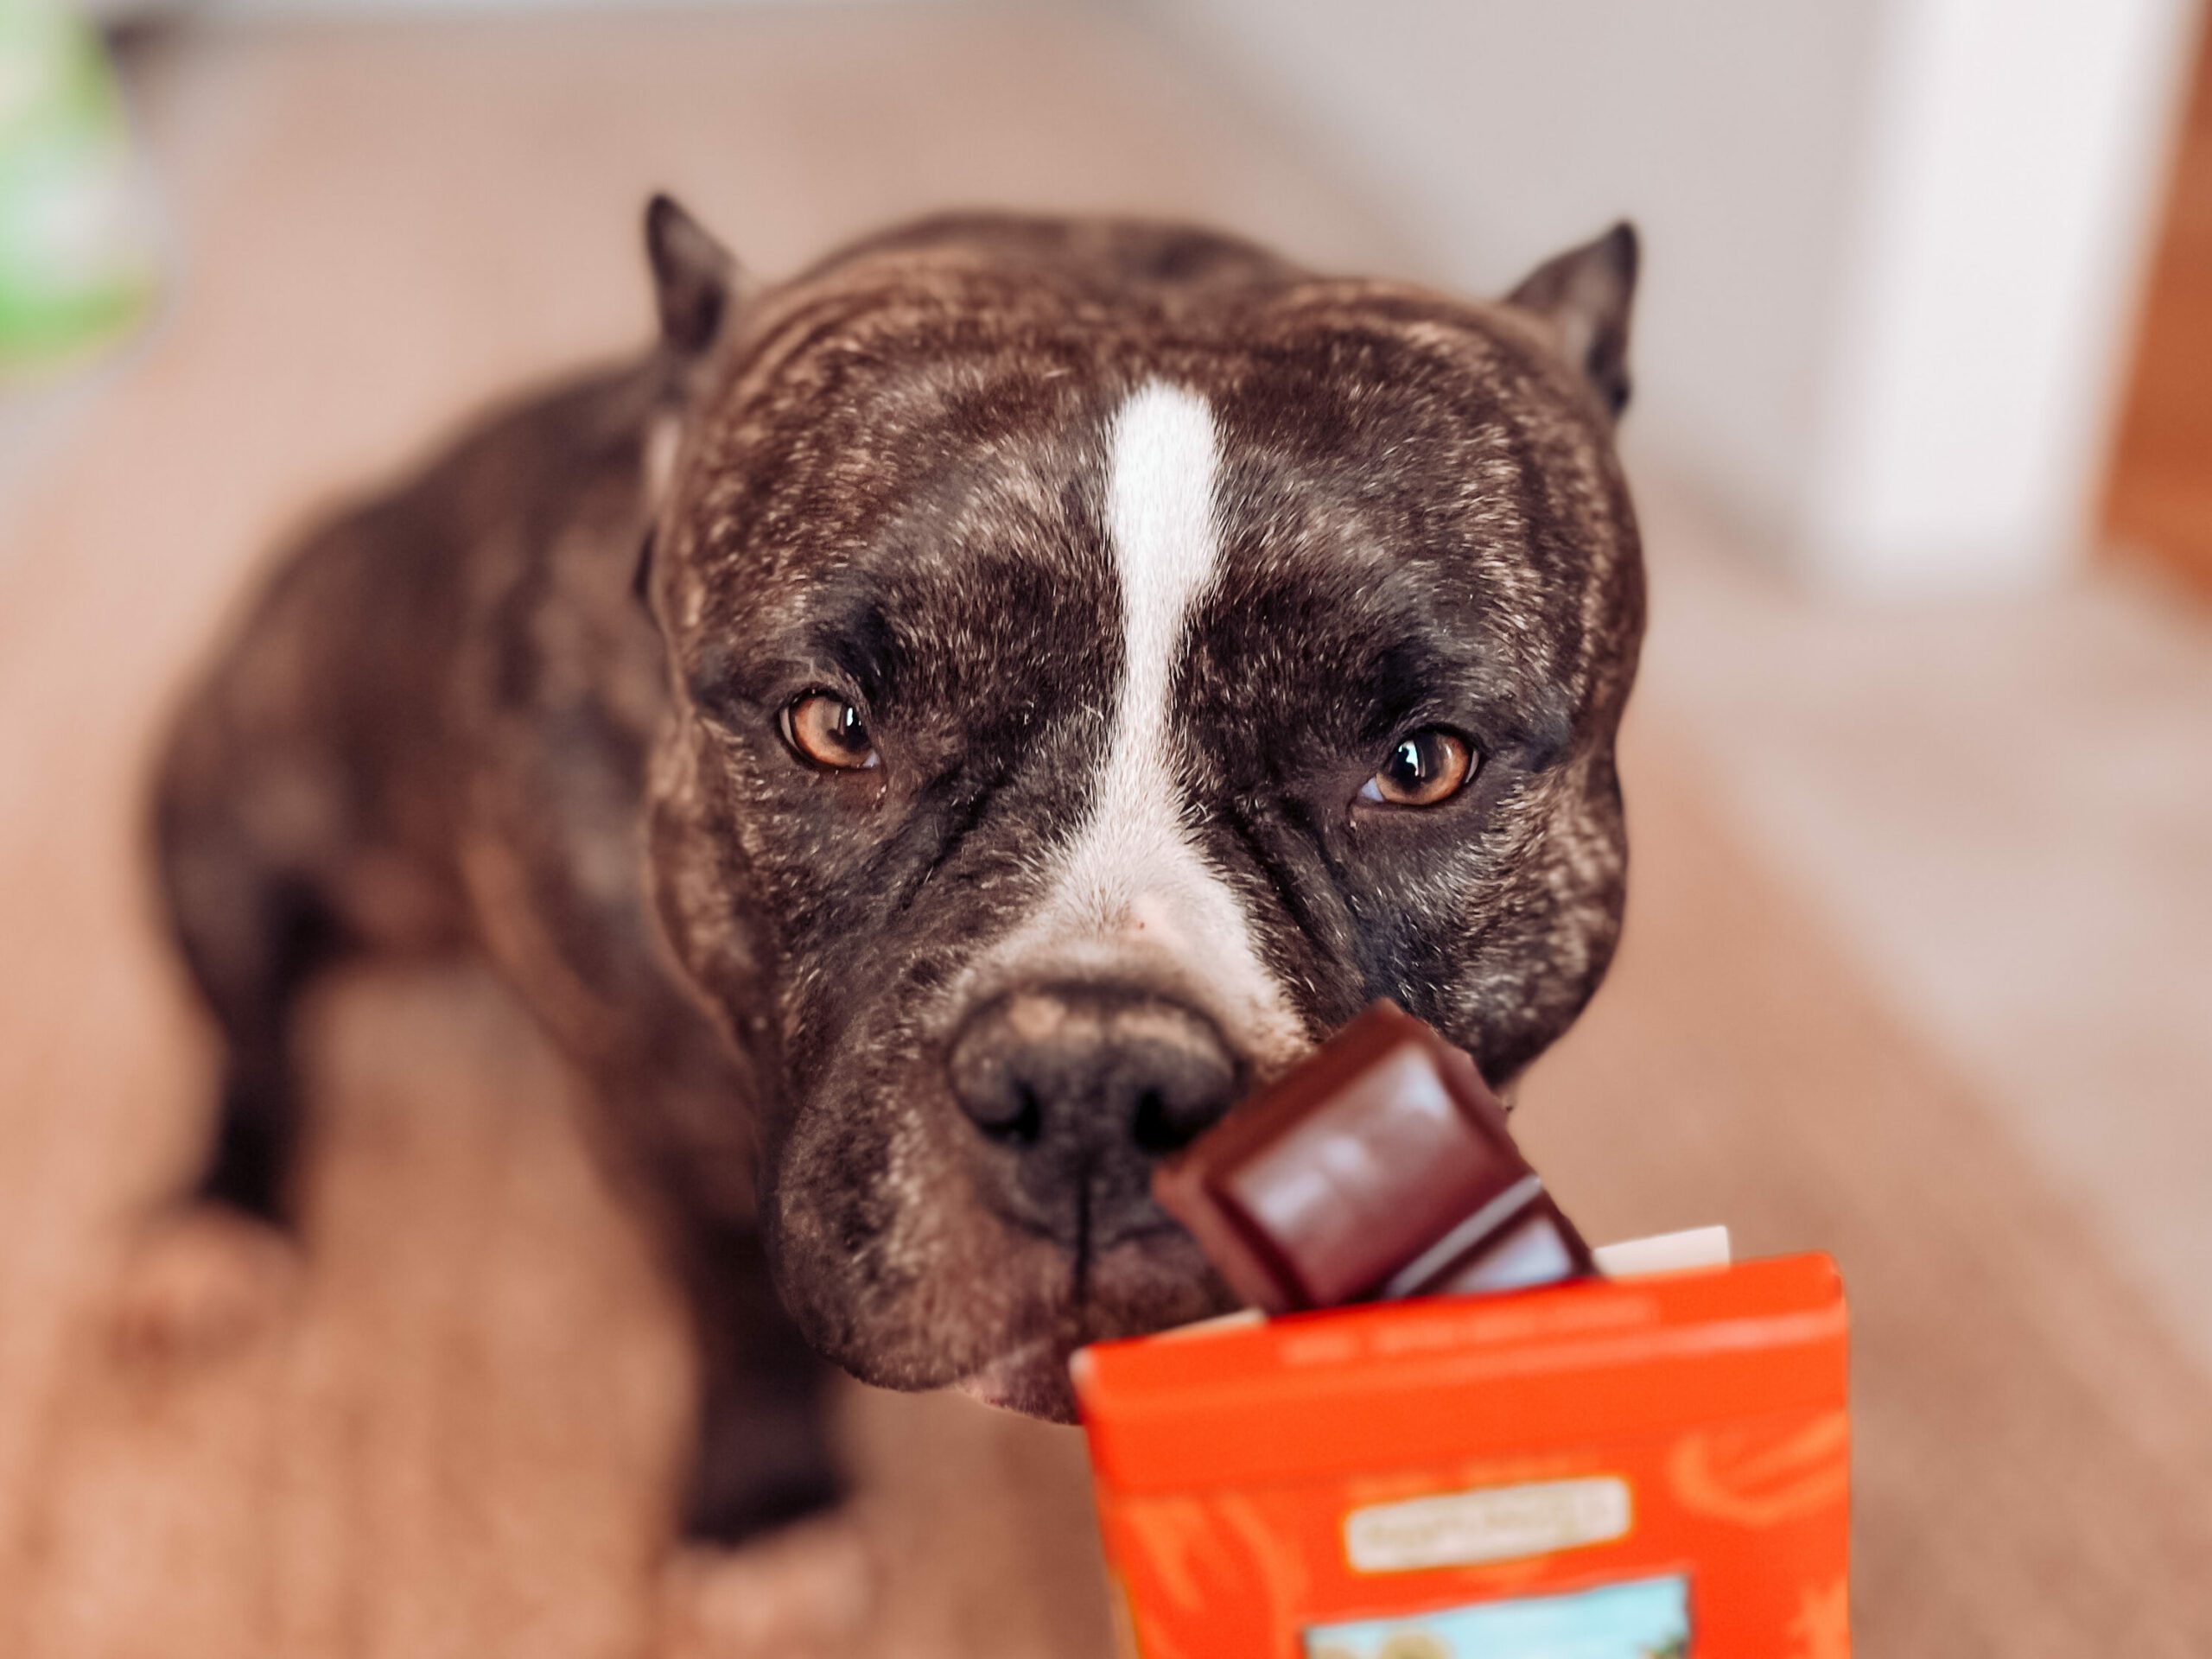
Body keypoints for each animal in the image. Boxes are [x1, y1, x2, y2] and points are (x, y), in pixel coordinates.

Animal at [147, 204, 1645, 1548]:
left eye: (1420, 765)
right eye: (833, 726)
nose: (1094, 1086)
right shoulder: (651, 1110)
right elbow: (729, 1306)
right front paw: (766, 1514)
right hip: (212, 823)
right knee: (250, 1037)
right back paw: (212, 1237)